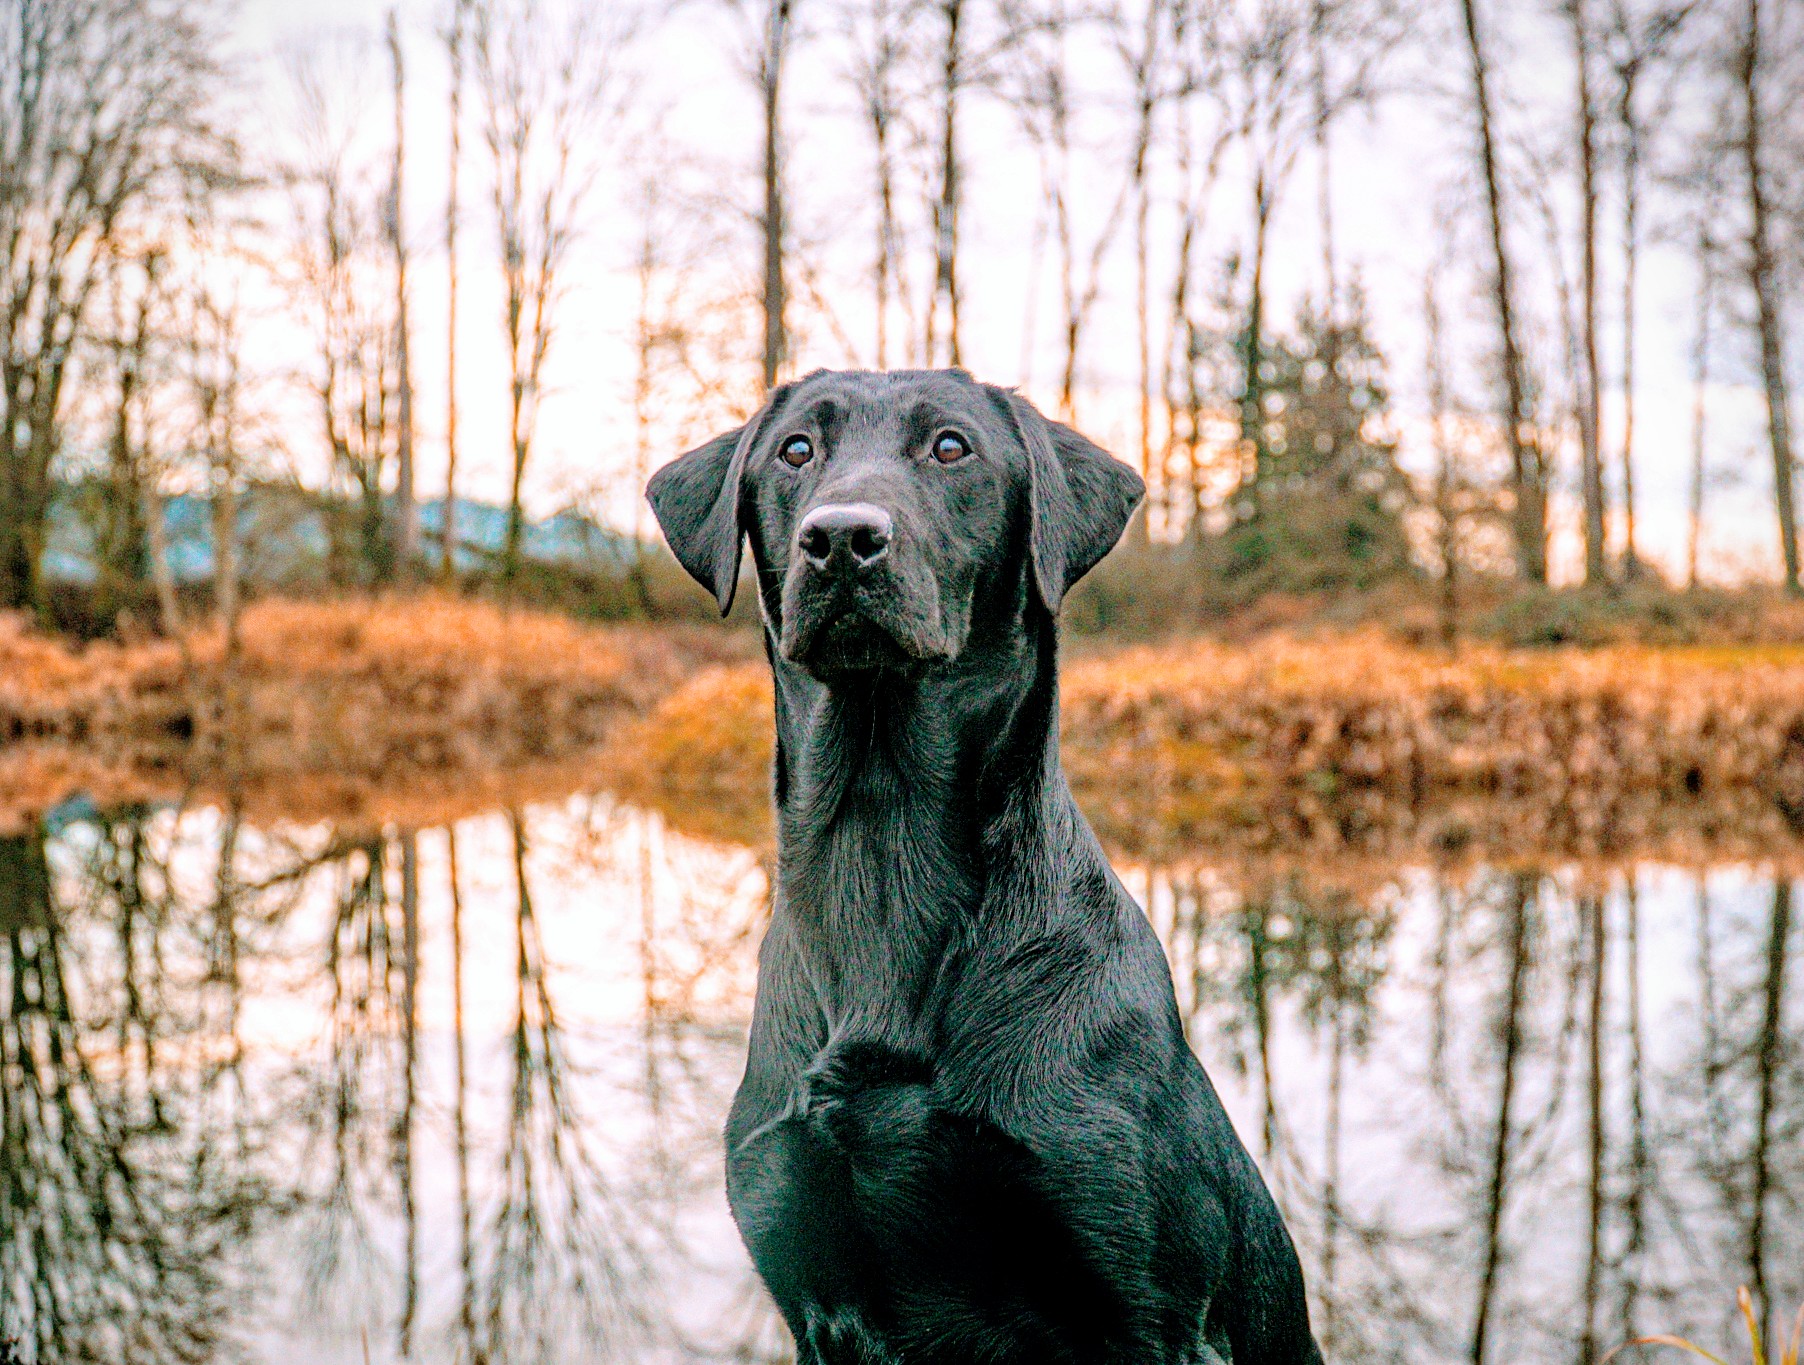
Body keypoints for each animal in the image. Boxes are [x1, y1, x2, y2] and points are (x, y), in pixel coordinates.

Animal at [649, 367, 1327, 1355]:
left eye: (951, 447)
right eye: (795, 451)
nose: (842, 538)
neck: (881, 850)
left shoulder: (1152, 1307)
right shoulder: (811, 1284)